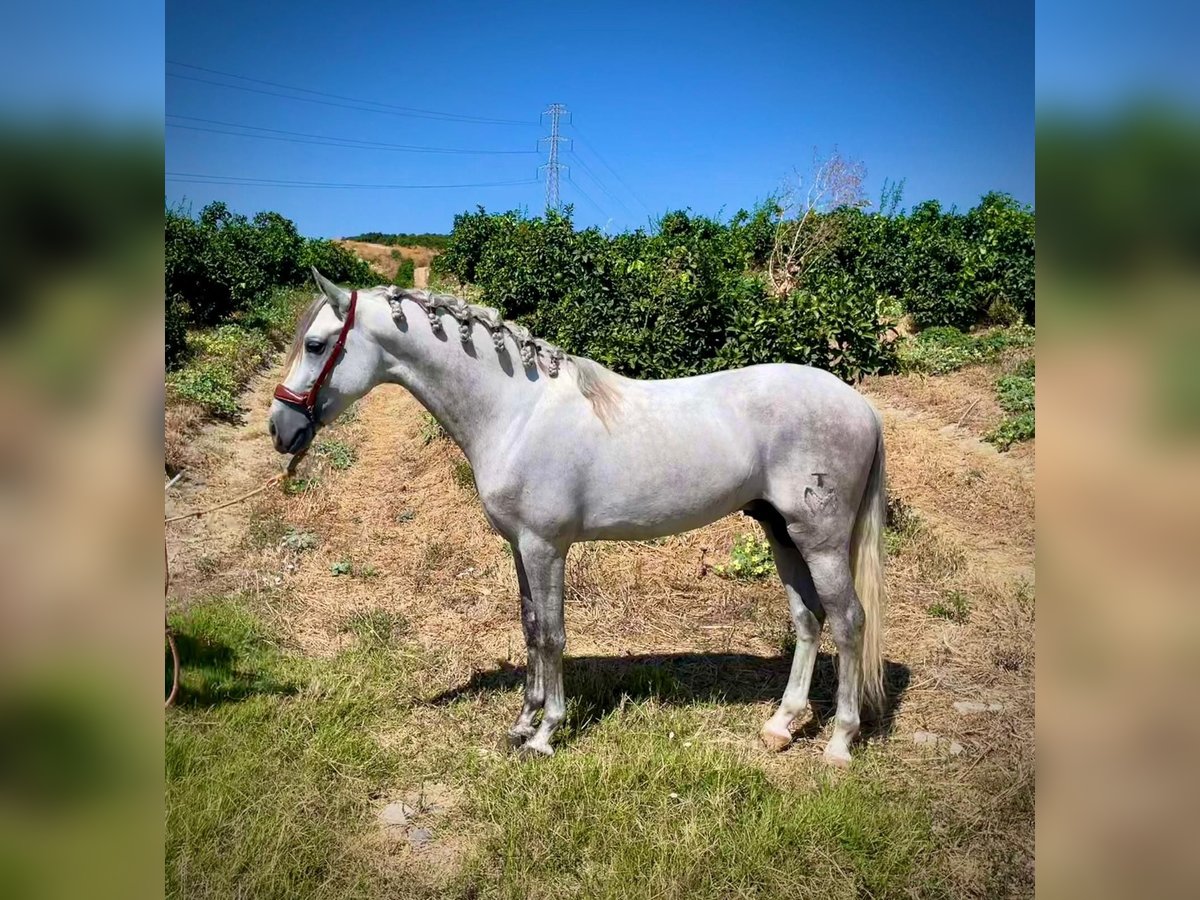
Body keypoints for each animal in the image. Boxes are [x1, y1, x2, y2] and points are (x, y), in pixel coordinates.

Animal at [274, 270, 892, 768]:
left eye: (315, 344)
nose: (281, 429)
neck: (516, 411)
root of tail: (861, 406)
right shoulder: (520, 547)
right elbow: (529, 628)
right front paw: (521, 722)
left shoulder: (545, 546)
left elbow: (551, 635)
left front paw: (546, 733)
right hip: (780, 532)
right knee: (808, 620)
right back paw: (781, 726)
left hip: (821, 541)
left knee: (848, 622)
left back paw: (839, 743)